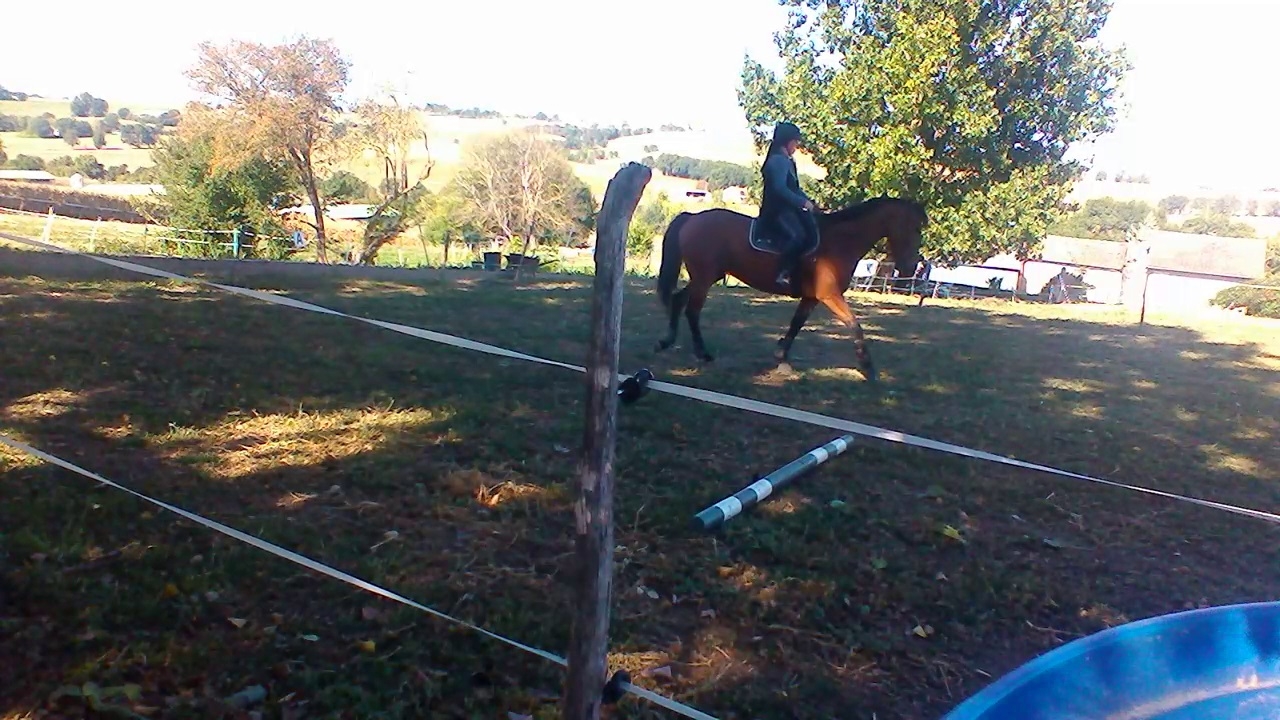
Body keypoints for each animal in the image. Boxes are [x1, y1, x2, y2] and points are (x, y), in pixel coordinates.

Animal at [653, 196, 927, 383]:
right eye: (914, 228)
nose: (910, 268)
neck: (838, 242)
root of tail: (692, 217)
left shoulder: (811, 298)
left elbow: (796, 325)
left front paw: (781, 357)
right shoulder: (830, 296)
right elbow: (854, 325)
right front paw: (868, 367)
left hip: (704, 277)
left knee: (678, 300)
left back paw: (667, 341)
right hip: (704, 277)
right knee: (692, 310)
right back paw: (702, 353)